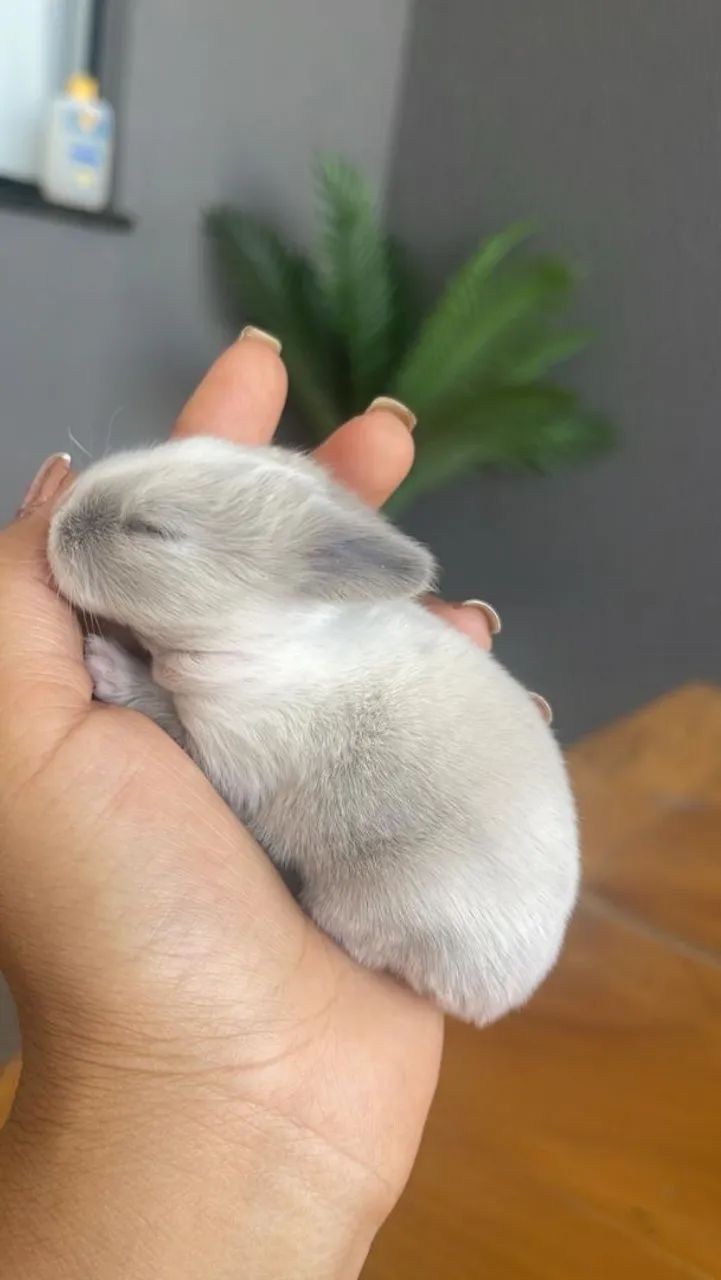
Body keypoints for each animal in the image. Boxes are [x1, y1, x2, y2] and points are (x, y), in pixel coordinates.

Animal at [47, 435, 579, 1025]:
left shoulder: (230, 748)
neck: (259, 635)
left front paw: (108, 664)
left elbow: (164, 712)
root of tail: (506, 997)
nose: (57, 519)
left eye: (152, 530)